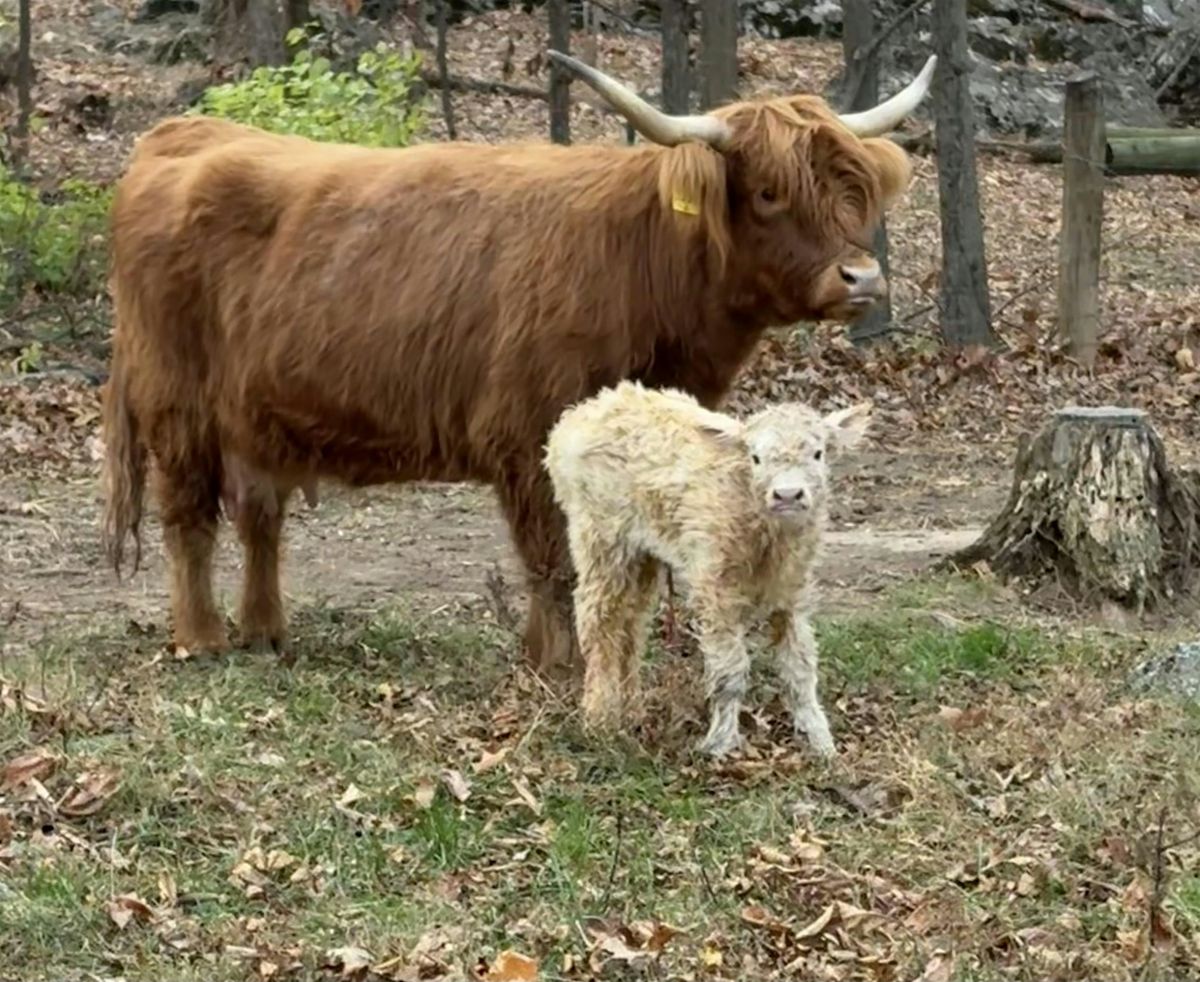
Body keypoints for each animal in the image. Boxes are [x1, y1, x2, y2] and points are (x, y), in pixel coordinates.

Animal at [100, 50, 936, 678]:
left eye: (853, 188)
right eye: (767, 192)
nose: (862, 279)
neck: (641, 266)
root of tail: (182, 133)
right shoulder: (531, 437)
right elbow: (555, 560)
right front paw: (560, 660)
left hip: (257, 414)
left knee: (259, 518)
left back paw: (266, 631)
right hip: (179, 404)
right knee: (189, 518)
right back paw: (202, 638)